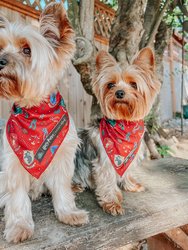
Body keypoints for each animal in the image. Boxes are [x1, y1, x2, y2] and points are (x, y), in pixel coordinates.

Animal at [0, 2, 88, 243]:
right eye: (0, 48)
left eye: (26, 50)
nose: (0, 60)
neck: (36, 112)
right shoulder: (13, 163)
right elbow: (17, 197)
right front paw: (20, 226)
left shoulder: (63, 155)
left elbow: (62, 188)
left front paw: (69, 213)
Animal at [72, 47, 161, 216]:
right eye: (110, 85)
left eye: (134, 84)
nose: (119, 92)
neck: (124, 126)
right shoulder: (104, 162)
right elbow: (107, 182)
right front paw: (112, 203)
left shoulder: (129, 156)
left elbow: (126, 171)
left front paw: (131, 185)